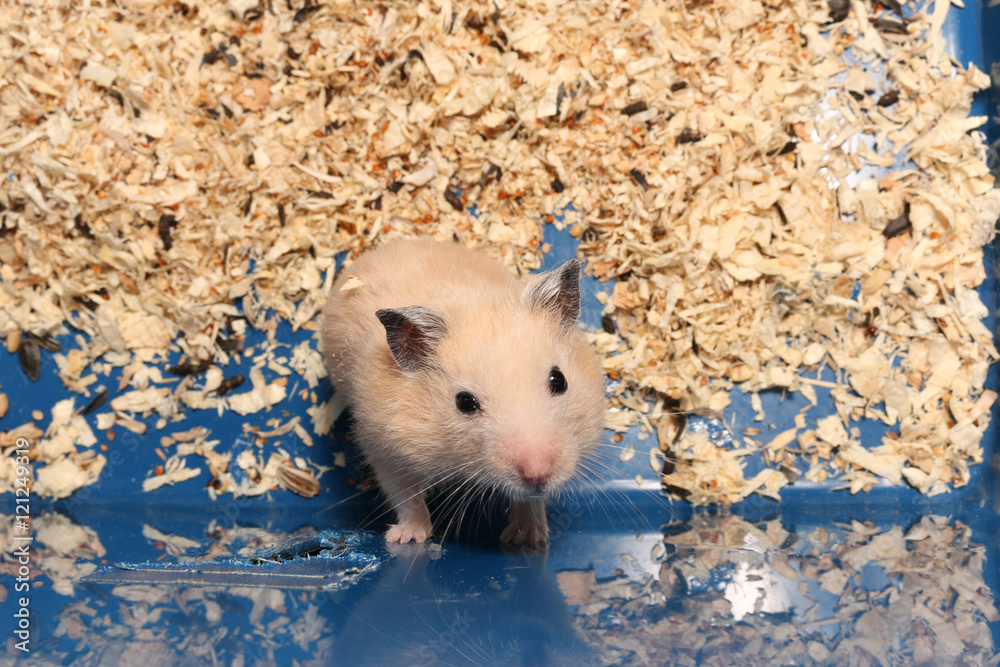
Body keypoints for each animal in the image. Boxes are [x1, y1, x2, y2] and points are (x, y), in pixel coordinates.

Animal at [320, 237, 604, 544]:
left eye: (559, 380)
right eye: (465, 402)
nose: (538, 474)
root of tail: (387, 246)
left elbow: (531, 501)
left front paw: (528, 540)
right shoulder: (384, 450)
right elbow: (406, 497)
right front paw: (408, 538)